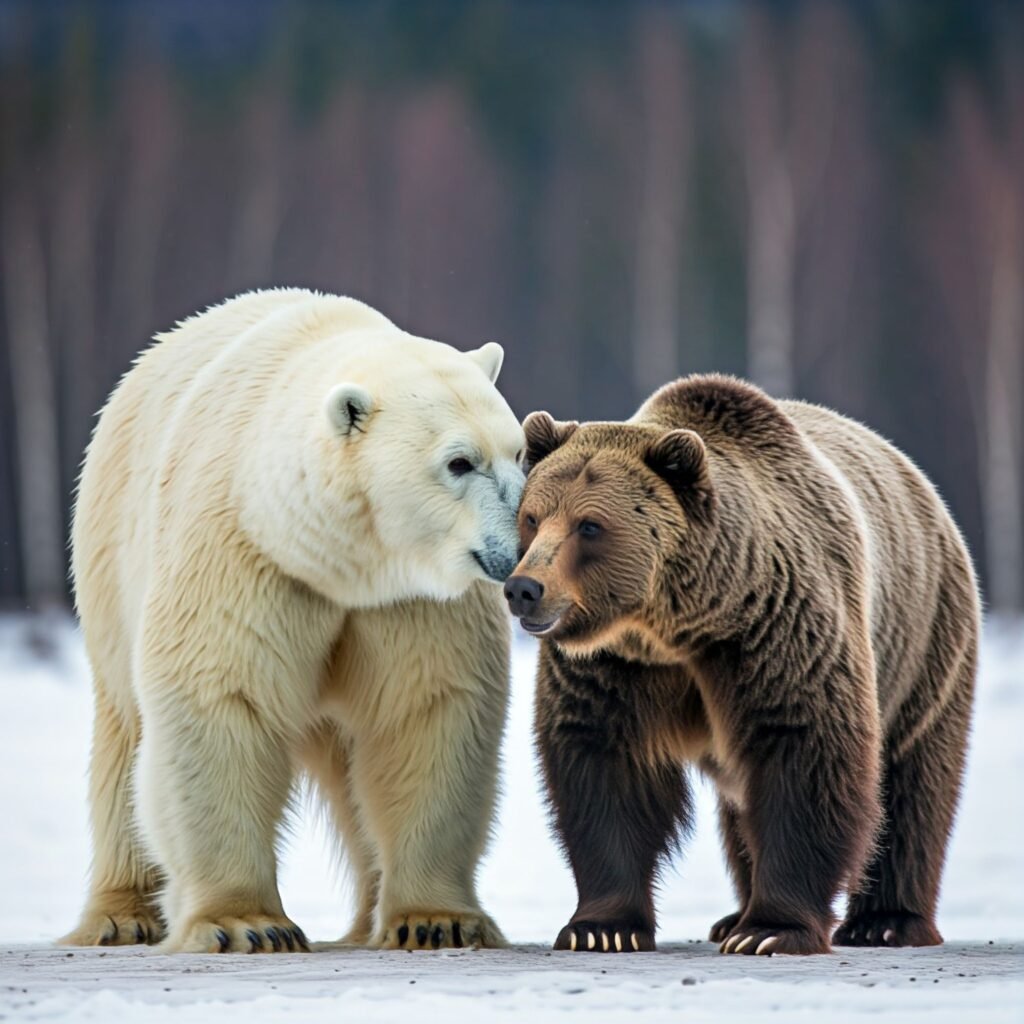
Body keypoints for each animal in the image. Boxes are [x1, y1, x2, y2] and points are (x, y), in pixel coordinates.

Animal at [59, 288, 524, 950]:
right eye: (459, 462)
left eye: (520, 451)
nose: (523, 541)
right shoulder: (245, 552)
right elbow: (223, 699)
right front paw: (245, 925)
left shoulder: (411, 602)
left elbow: (425, 711)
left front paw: (436, 921)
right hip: (110, 555)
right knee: (125, 737)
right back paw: (121, 917)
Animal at [507, 372, 978, 954]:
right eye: (532, 516)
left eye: (589, 525)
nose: (525, 589)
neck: (679, 625)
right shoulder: (615, 665)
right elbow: (603, 767)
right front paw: (601, 928)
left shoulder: (776, 633)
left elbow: (804, 752)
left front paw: (771, 930)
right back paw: (731, 917)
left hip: (925, 641)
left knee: (910, 784)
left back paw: (886, 920)